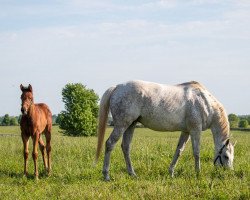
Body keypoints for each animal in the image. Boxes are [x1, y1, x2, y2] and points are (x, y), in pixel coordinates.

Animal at [95, 80, 234, 181]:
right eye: (226, 156)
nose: (228, 174)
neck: (205, 103)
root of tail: (117, 87)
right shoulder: (195, 130)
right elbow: (196, 152)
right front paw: (197, 173)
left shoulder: (186, 131)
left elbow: (179, 151)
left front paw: (171, 172)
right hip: (122, 125)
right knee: (110, 144)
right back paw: (106, 175)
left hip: (131, 125)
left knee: (125, 147)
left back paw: (132, 174)